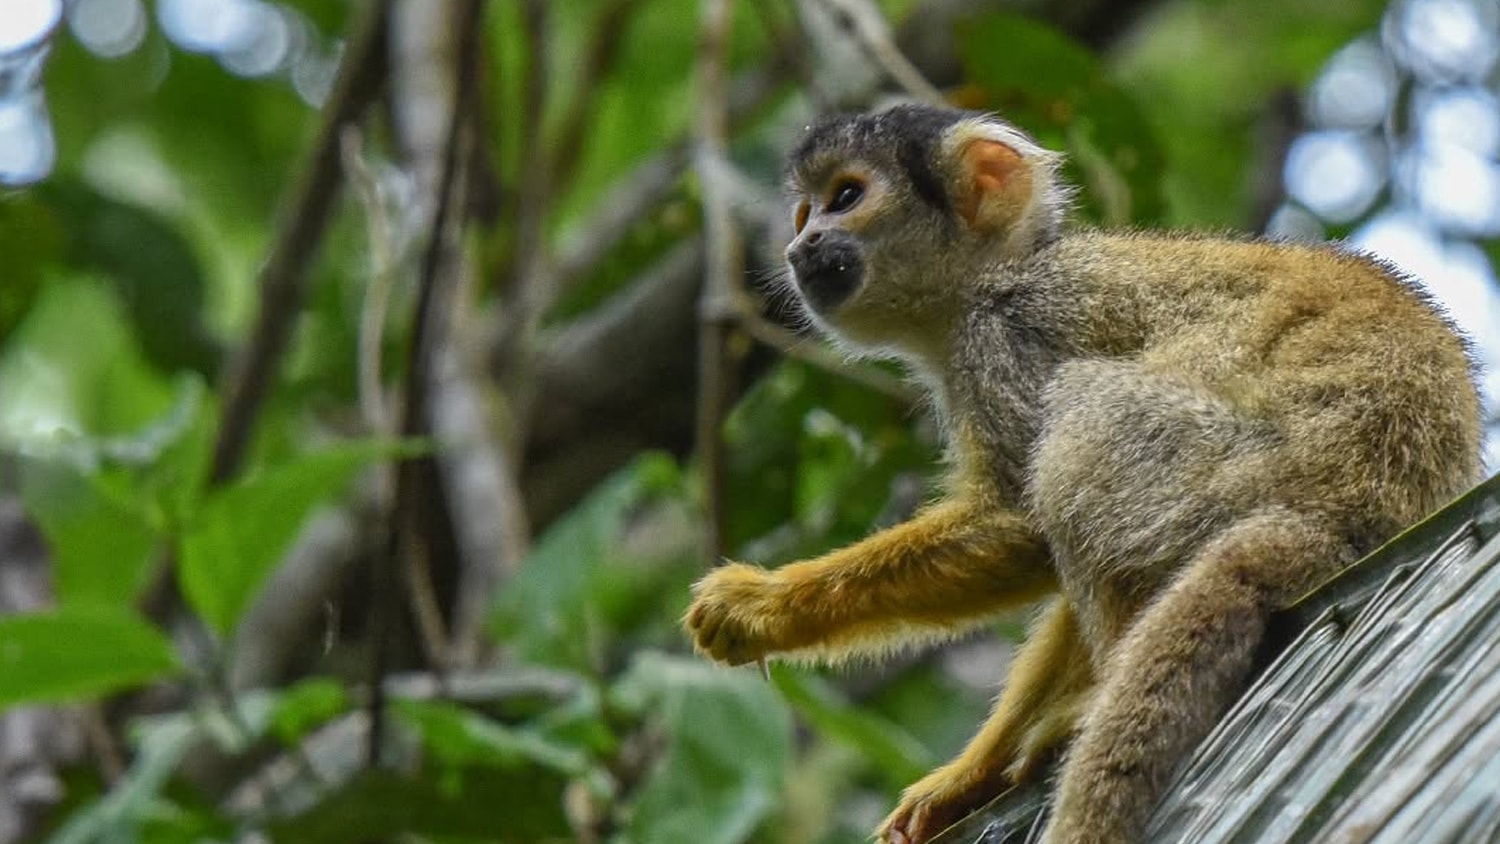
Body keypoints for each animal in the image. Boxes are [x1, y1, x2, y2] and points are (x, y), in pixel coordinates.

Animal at [682, 103, 1481, 844]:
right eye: (804, 210)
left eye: (846, 196)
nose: (800, 243)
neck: (996, 273)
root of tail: (1350, 513)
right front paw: (968, 778)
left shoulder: (1008, 329)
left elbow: (1021, 526)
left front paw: (761, 605)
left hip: (1230, 467)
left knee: (1078, 427)